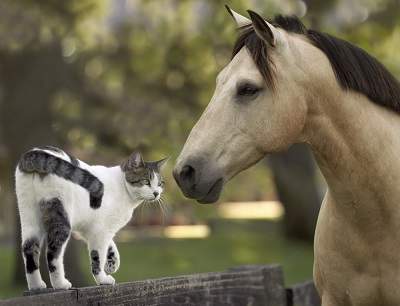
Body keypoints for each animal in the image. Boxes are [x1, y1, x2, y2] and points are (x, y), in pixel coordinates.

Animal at [14, 147, 166, 290]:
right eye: (146, 181)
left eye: (160, 184)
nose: (156, 193)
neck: (122, 187)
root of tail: (34, 152)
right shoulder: (100, 231)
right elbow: (98, 255)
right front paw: (103, 279)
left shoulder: (92, 230)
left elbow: (110, 245)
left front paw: (112, 262)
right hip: (60, 218)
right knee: (52, 253)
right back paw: (60, 284)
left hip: (29, 214)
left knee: (29, 249)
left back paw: (36, 285)